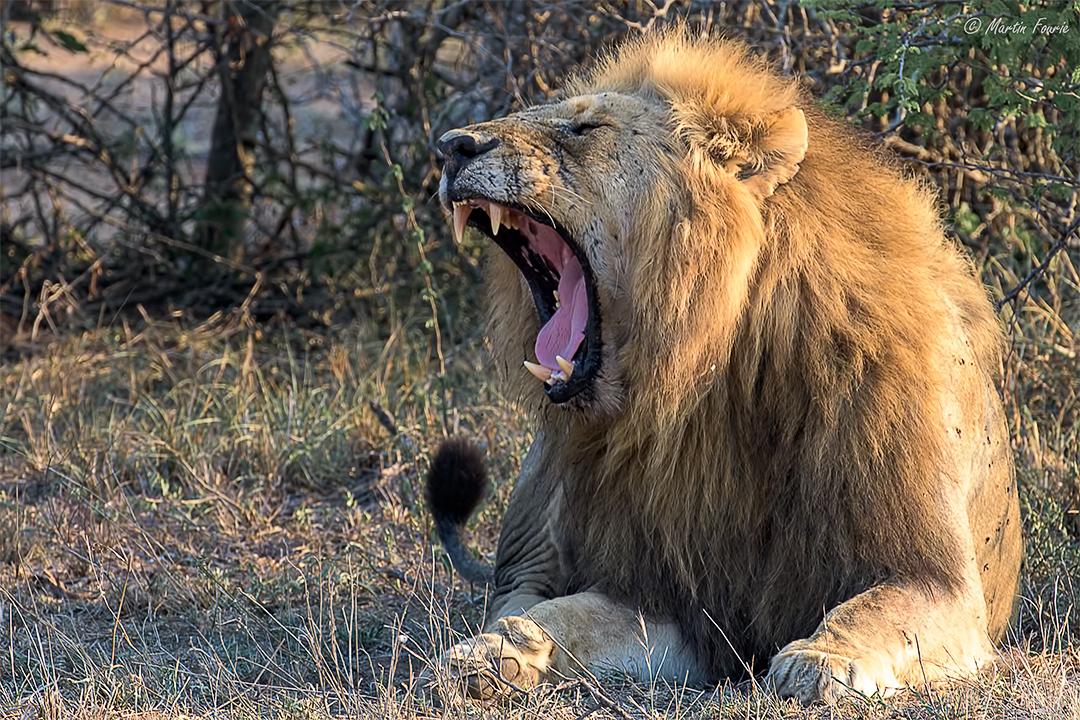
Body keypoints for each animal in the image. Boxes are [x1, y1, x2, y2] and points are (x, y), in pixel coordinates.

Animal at [426, 29, 1022, 704]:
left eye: (584, 128)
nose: (451, 146)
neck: (711, 366)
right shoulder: (675, 597)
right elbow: (558, 615)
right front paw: (490, 655)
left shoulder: (935, 577)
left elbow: (874, 610)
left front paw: (820, 660)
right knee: (514, 593)